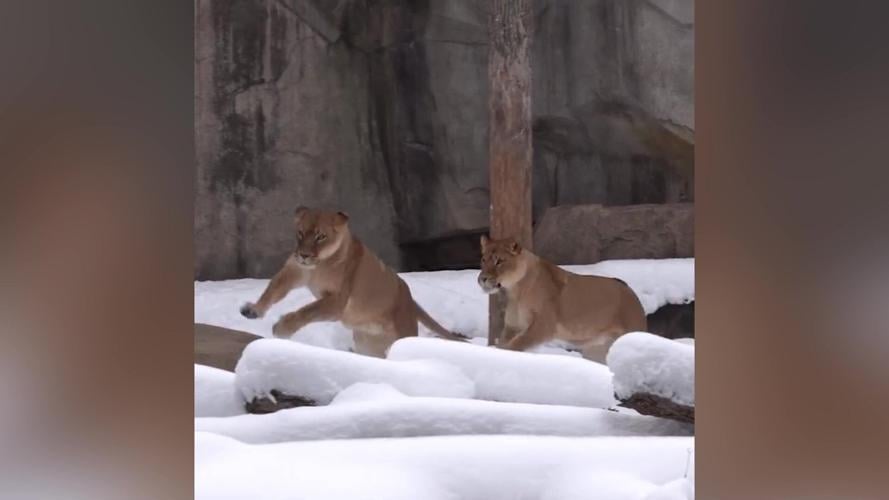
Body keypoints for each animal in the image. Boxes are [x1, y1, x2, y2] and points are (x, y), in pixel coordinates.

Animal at [239, 207, 465, 357]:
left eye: (320, 236)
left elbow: (308, 311)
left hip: (403, 333)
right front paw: (253, 310)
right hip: (368, 345)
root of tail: (409, 298)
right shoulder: (293, 272)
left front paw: (282, 328)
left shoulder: (337, 302)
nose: (303, 255)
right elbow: (272, 290)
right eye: (301, 233)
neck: (318, 266)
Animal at [478, 235, 647, 362]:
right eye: (483, 260)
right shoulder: (513, 326)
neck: (515, 291)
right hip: (596, 350)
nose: (483, 279)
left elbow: (516, 345)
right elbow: (504, 343)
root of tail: (631, 291)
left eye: (499, 261)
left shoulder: (543, 326)